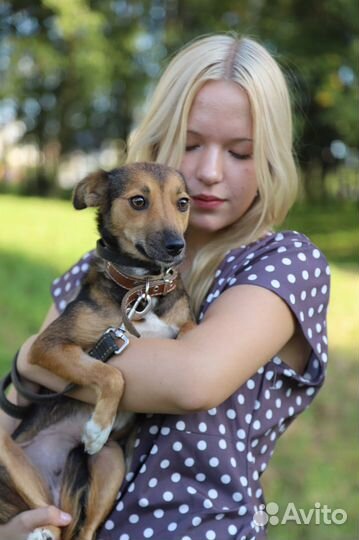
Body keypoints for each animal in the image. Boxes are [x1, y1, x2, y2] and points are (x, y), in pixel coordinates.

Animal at [0, 162, 195, 540]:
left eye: (182, 203)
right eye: (138, 201)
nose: (176, 246)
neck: (141, 289)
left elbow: (190, 328)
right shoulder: (47, 346)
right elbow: (110, 372)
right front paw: (96, 429)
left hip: (112, 462)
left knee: (82, 528)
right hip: (10, 453)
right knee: (45, 514)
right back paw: (41, 529)